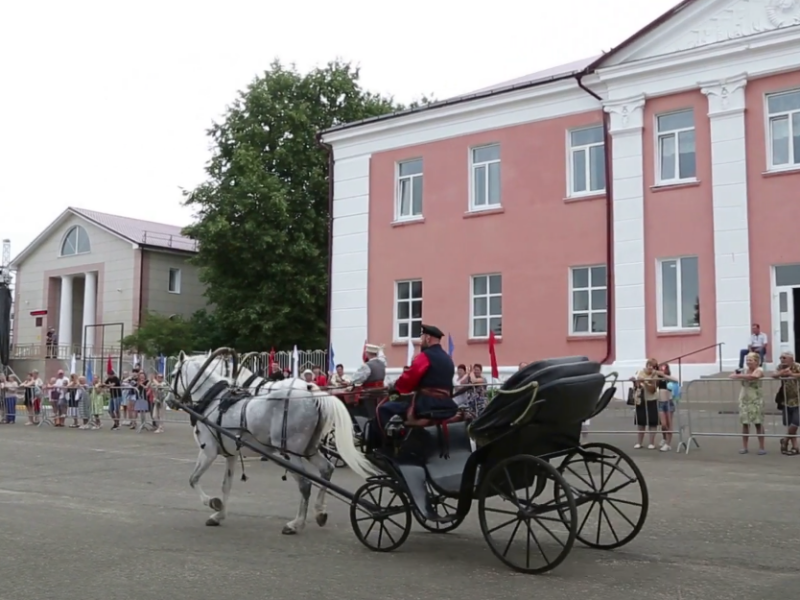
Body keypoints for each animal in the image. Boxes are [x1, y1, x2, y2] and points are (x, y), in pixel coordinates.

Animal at [170, 354, 382, 532]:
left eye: (172, 374)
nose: (168, 400)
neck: (215, 401)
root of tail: (312, 393)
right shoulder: (230, 454)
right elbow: (226, 486)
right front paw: (219, 515)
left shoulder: (208, 451)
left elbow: (193, 479)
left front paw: (213, 503)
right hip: (310, 449)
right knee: (326, 469)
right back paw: (320, 512)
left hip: (291, 453)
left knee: (305, 484)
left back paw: (296, 523)